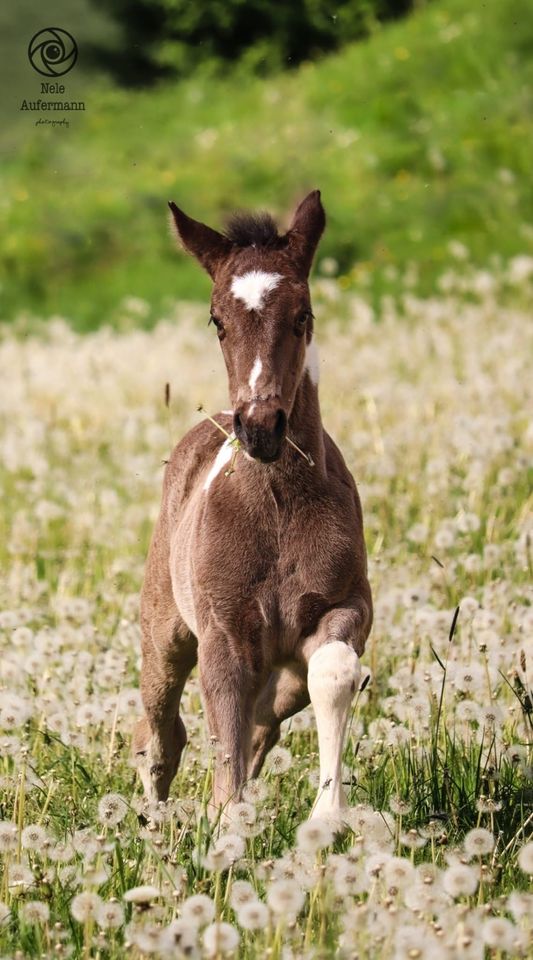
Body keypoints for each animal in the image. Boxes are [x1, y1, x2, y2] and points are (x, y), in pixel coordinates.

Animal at [132, 191, 372, 820]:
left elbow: (333, 672)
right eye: (217, 320)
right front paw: (226, 829)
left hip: (278, 670)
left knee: (266, 719)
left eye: (303, 313)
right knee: (158, 733)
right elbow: (223, 740)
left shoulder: (347, 606)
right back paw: (152, 824)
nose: (261, 427)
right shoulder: (223, 634)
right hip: (164, 632)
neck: (277, 507)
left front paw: (328, 818)